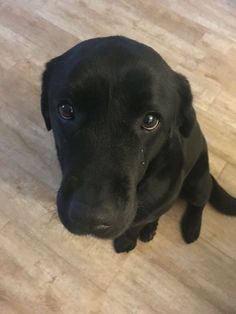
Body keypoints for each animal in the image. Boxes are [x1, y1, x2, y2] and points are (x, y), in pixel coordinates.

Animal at [41, 36, 236, 253]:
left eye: (150, 120)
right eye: (66, 110)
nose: (90, 219)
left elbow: (135, 225)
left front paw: (127, 240)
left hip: (196, 183)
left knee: (202, 198)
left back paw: (191, 226)